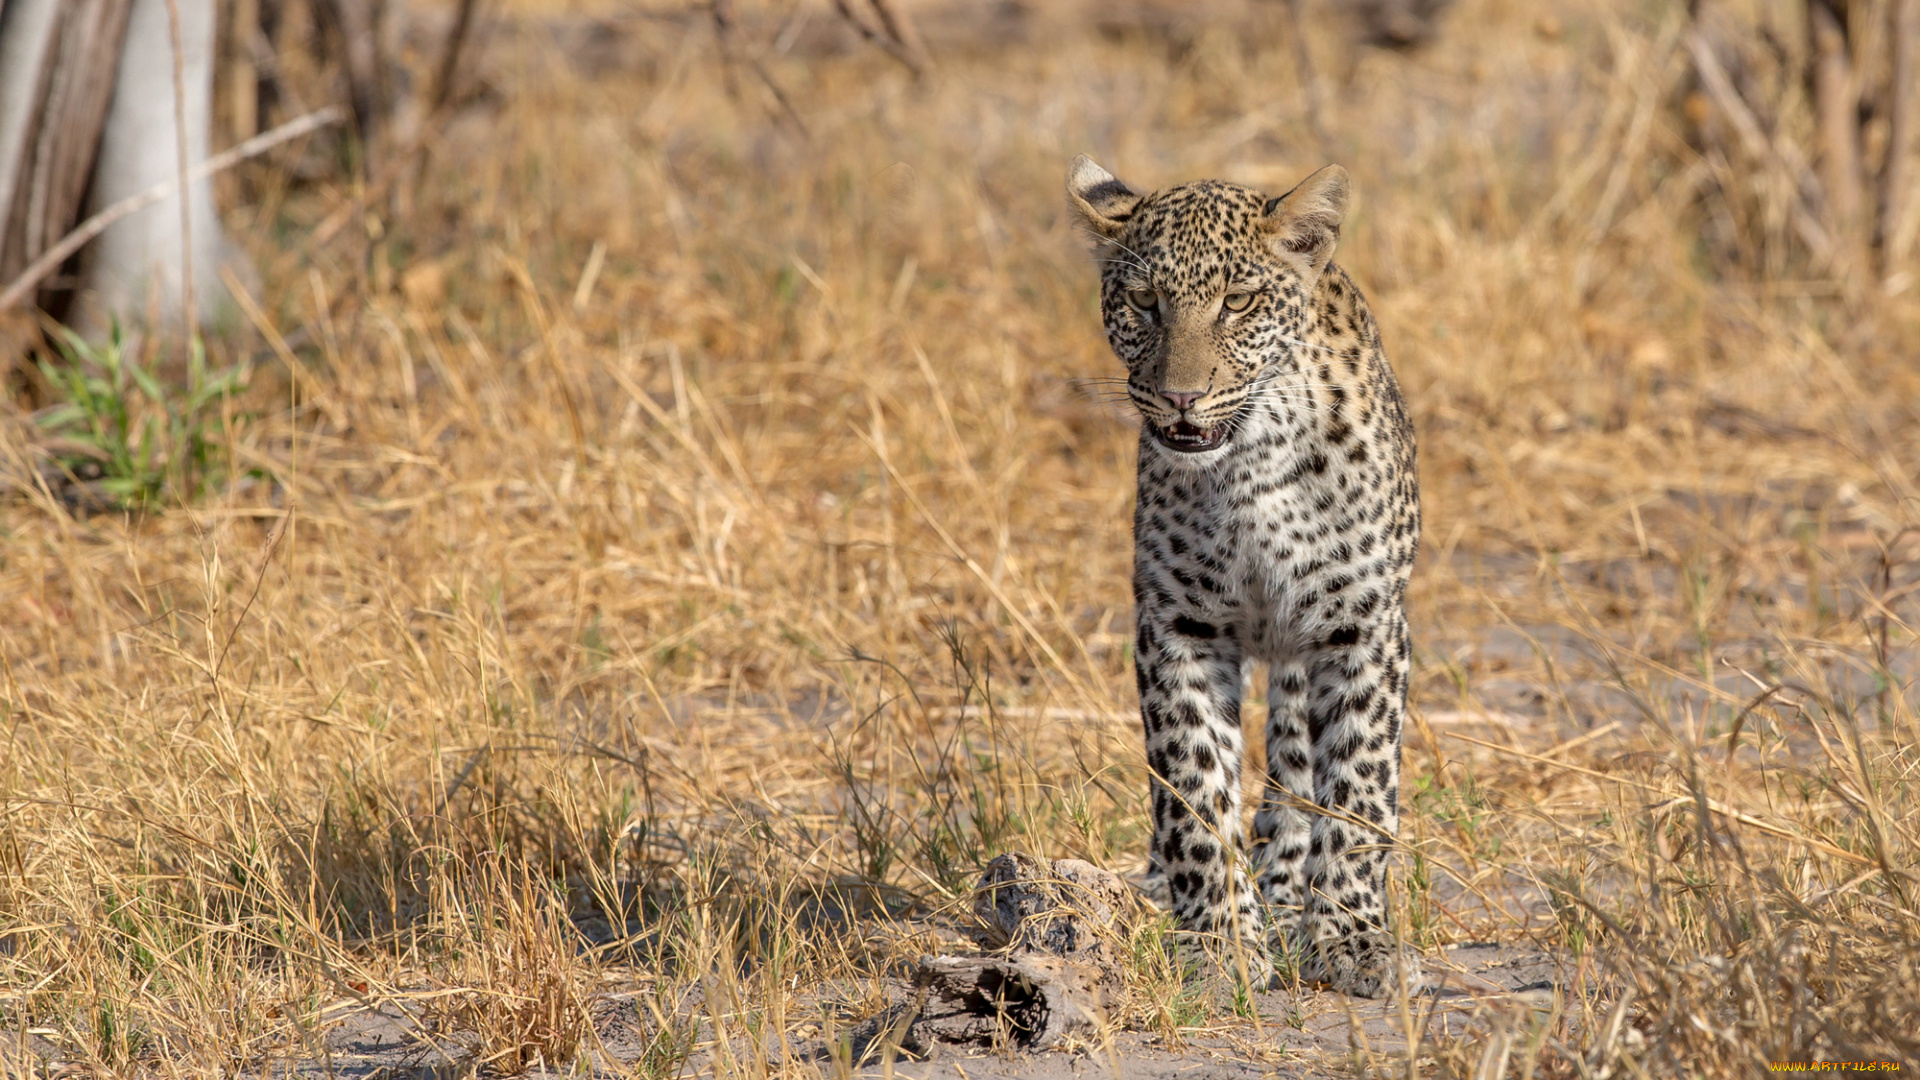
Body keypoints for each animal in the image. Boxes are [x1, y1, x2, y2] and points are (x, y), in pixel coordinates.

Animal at [1066, 156, 1421, 998]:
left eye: (1237, 302)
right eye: (1144, 301)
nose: (1182, 396)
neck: (1253, 464)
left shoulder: (1363, 625)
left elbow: (1359, 789)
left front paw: (1353, 939)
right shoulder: (1178, 628)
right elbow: (1195, 793)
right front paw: (1221, 939)